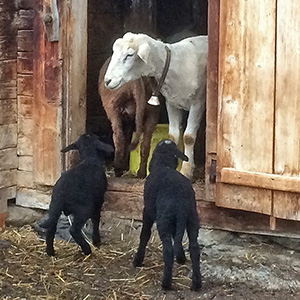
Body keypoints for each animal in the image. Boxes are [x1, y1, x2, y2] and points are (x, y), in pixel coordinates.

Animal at [104, 31, 207, 179]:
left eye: (129, 55)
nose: (107, 81)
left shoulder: (197, 102)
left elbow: (188, 137)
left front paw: (186, 171)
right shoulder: (172, 103)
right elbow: (173, 135)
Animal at [133, 140, 202, 290]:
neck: (163, 165)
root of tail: (181, 201)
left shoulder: (147, 211)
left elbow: (144, 234)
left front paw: (137, 260)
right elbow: (177, 238)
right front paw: (181, 257)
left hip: (164, 219)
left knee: (168, 250)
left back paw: (166, 283)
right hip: (192, 218)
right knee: (194, 248)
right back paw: (196, 283)